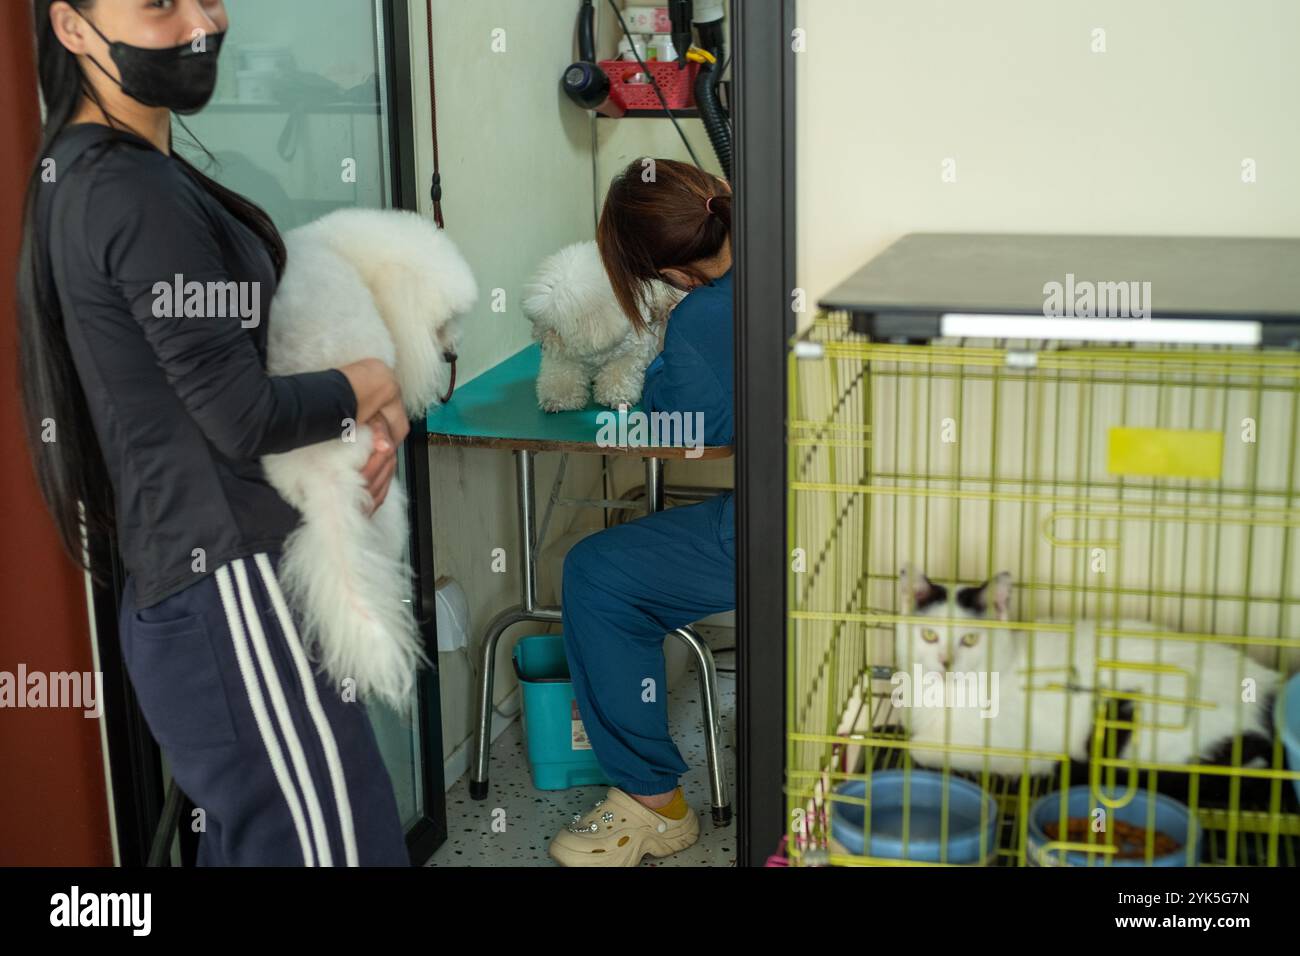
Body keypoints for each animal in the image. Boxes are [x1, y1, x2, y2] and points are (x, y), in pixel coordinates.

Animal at [520, 239, 681, 411]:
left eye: (556, 330)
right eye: (538, 323)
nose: (542, 345)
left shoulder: (628, 353)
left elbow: (618, 374)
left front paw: (616, 397)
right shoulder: (565, 356)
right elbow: (562, 374)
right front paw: (558, 399)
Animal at [889, 564, 1284, 780]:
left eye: (970, 639)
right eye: (929, 635)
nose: (945, 662)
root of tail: (1264, 685)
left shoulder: (1008, 747)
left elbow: (918, 747)